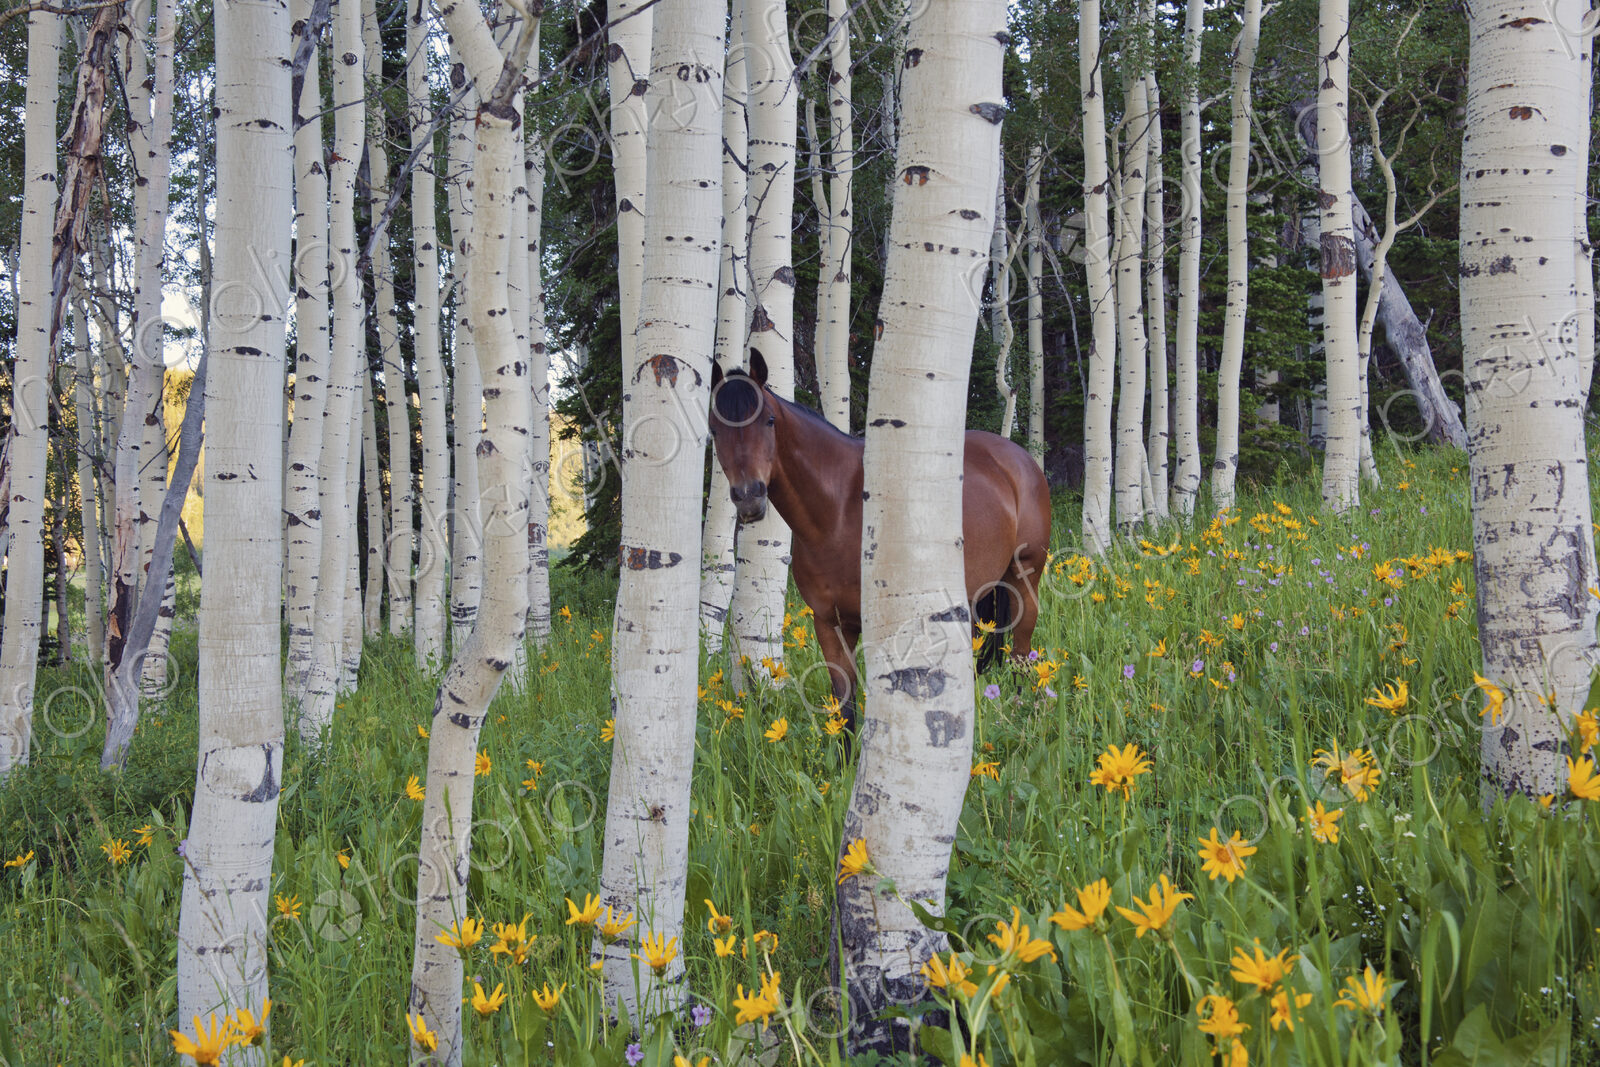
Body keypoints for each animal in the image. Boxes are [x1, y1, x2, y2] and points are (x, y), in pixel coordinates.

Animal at [708, 350, 1052, 731]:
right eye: (714, 429)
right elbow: (844, 707)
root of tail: (1017, 459)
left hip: (1023, 579)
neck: (838, 513)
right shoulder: (829, 624)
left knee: (1021, 650)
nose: (749, 497)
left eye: (769, 421)